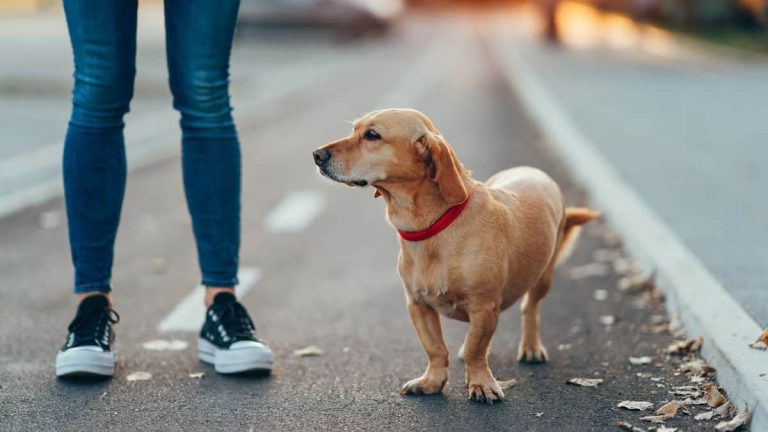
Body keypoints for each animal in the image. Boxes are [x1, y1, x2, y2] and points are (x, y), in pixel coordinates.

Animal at [312, 109, 600, 404]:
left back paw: (531, 347)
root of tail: (533, 171)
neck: (433, 226)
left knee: (529, 309)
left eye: (372, 135)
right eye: (355, 129)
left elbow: (476, 349)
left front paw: (481, 383)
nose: (316, 155)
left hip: (543, 278)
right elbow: (436, 349)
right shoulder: (418, 305)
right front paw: (432, 381)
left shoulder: (484, 306)